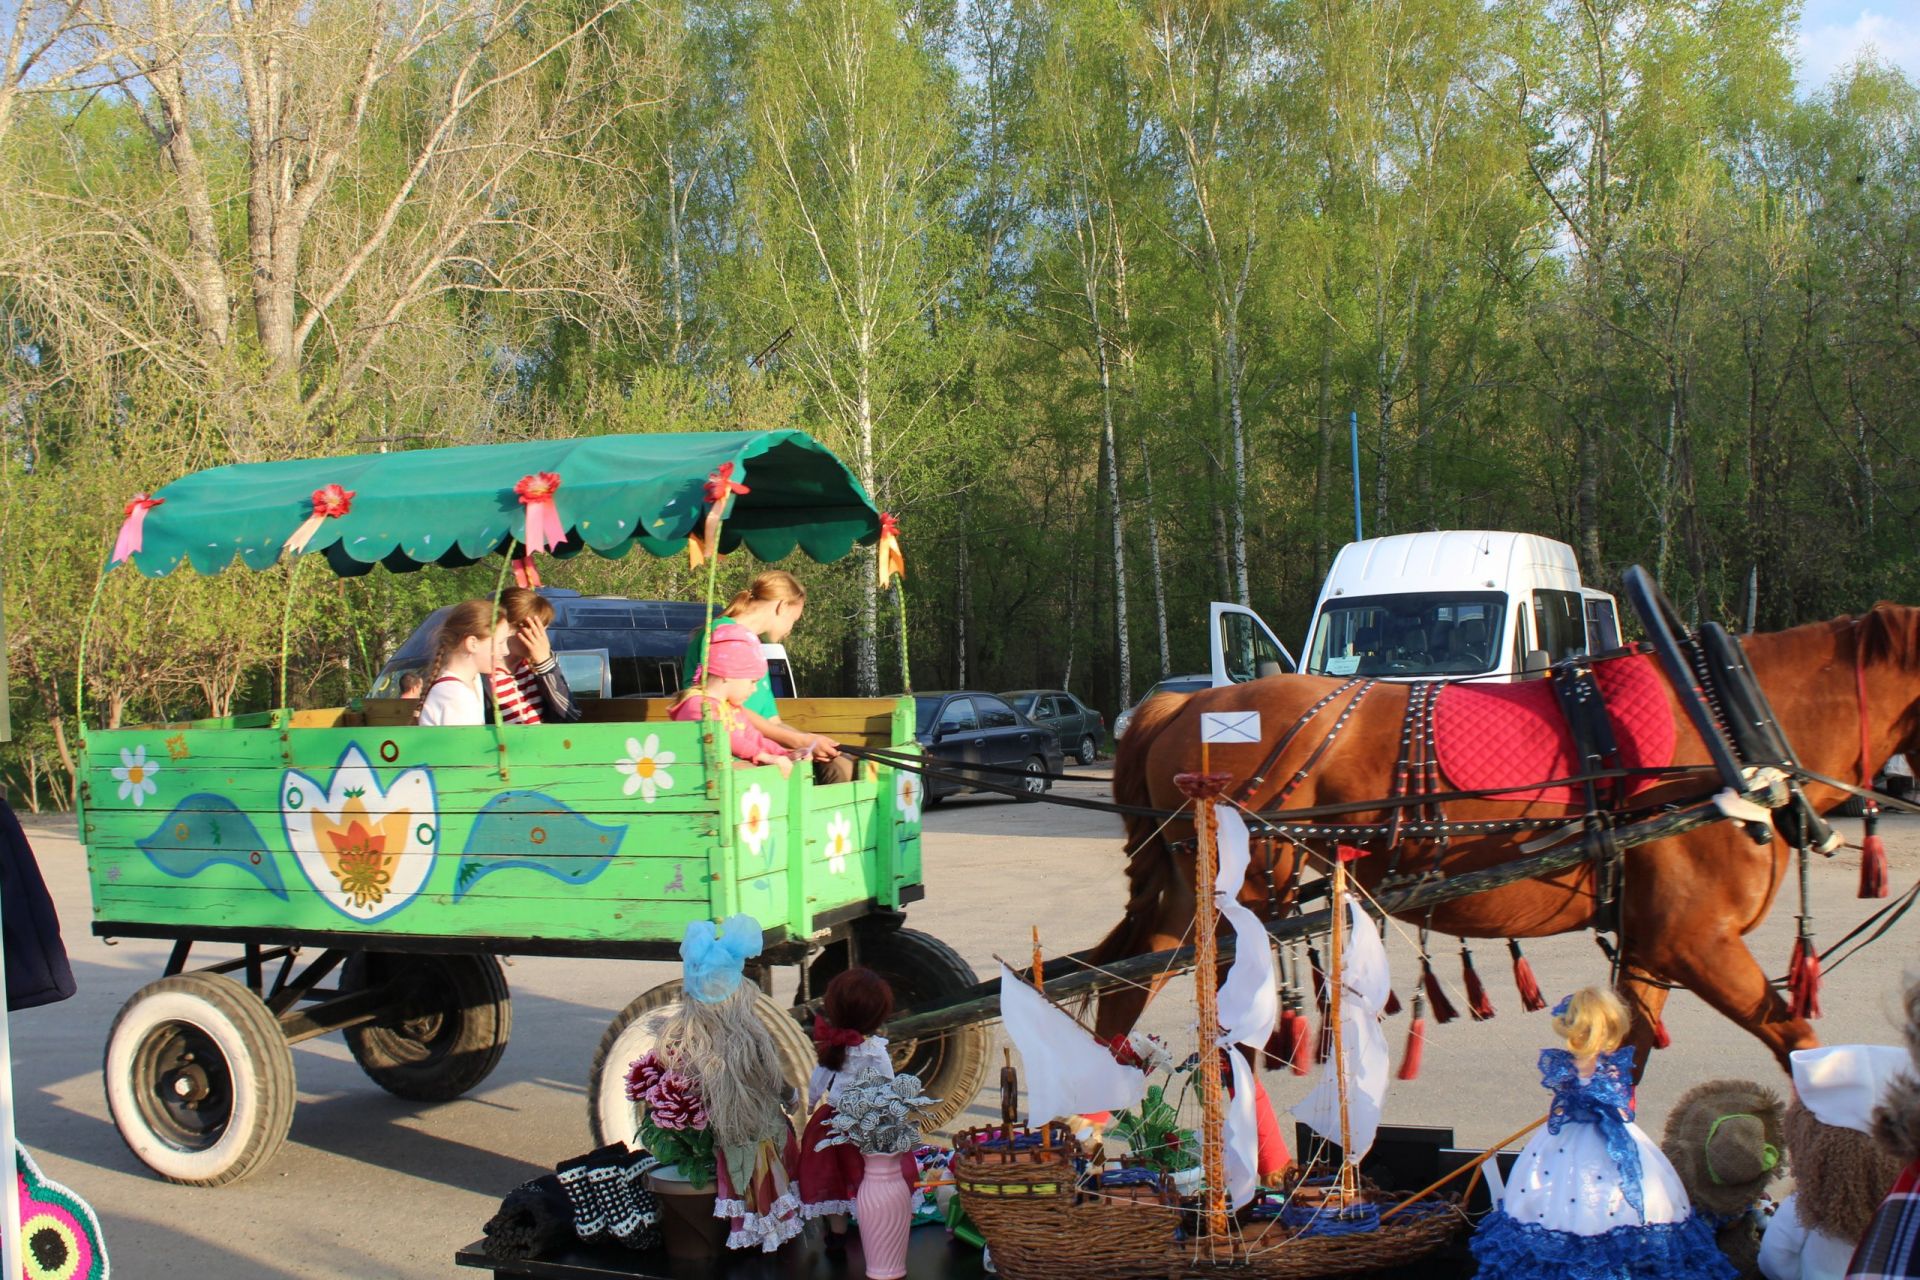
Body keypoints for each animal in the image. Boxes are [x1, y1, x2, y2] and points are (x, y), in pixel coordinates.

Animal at [1098, 602, 1920, 1074]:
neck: (1728, 727)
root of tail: (1183, 707)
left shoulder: (1652, 947)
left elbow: (1626, 1063)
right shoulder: (1696, 940)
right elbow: (1801, 1047)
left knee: (1127, 977)